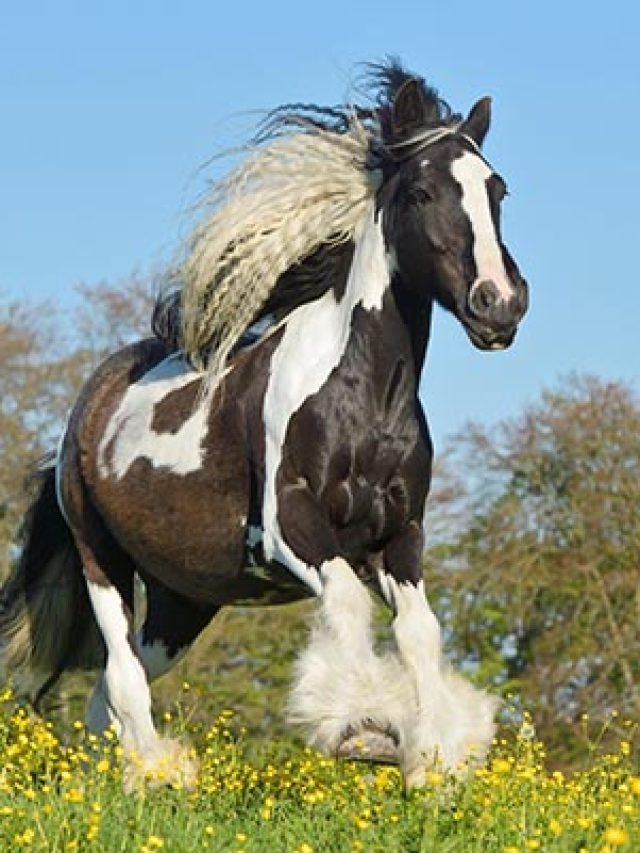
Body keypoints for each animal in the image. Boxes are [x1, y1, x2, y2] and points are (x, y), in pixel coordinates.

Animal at [0, 61, 528, 792]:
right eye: (422, 191)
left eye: (497, 190)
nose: (499, 306)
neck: (365, 396)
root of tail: (90, 402)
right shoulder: (293, 528)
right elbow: (348, 606)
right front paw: (363, 728)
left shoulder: (397, 536)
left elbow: (422, 632)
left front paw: (433, 760)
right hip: (100, 559)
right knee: (121, 675)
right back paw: (159, 777)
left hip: (184, 601)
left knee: (109, 690)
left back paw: (126, 782)